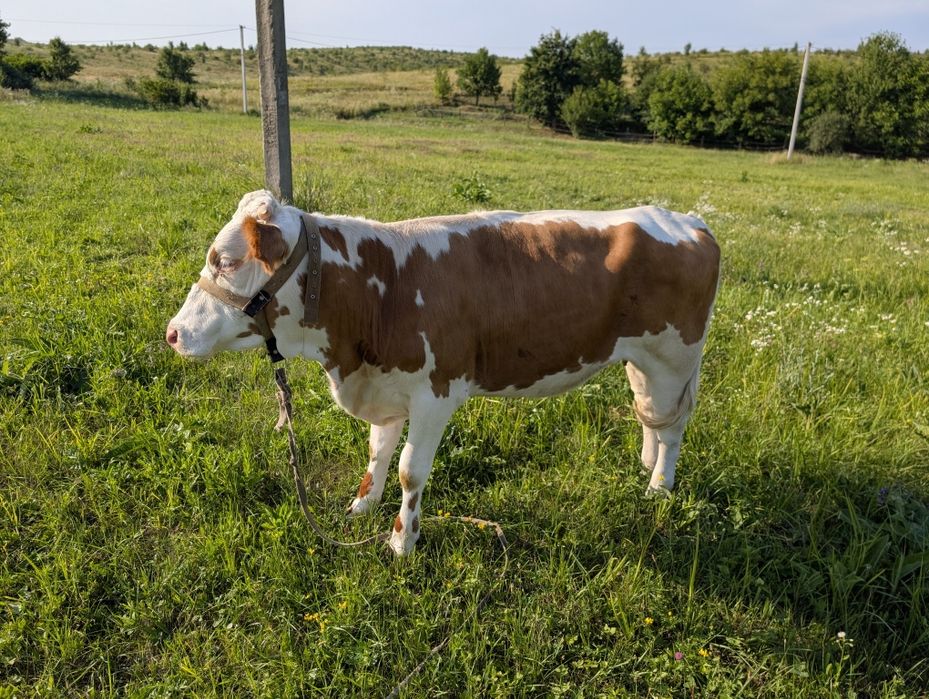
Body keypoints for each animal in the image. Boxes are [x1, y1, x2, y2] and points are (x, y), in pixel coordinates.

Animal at [167, 190, 720, 555]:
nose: (172, 333)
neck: (382, 289)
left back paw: (658, 487)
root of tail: (683, 218)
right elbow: (378, 451)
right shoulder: (385, 383)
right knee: (649, 415)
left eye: (225, 261)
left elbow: (411, 469)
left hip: (674, 357)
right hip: (640, 360)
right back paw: (646, 467)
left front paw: (400, 541)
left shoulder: (435, 394)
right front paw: (362, 507)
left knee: (672, 425)